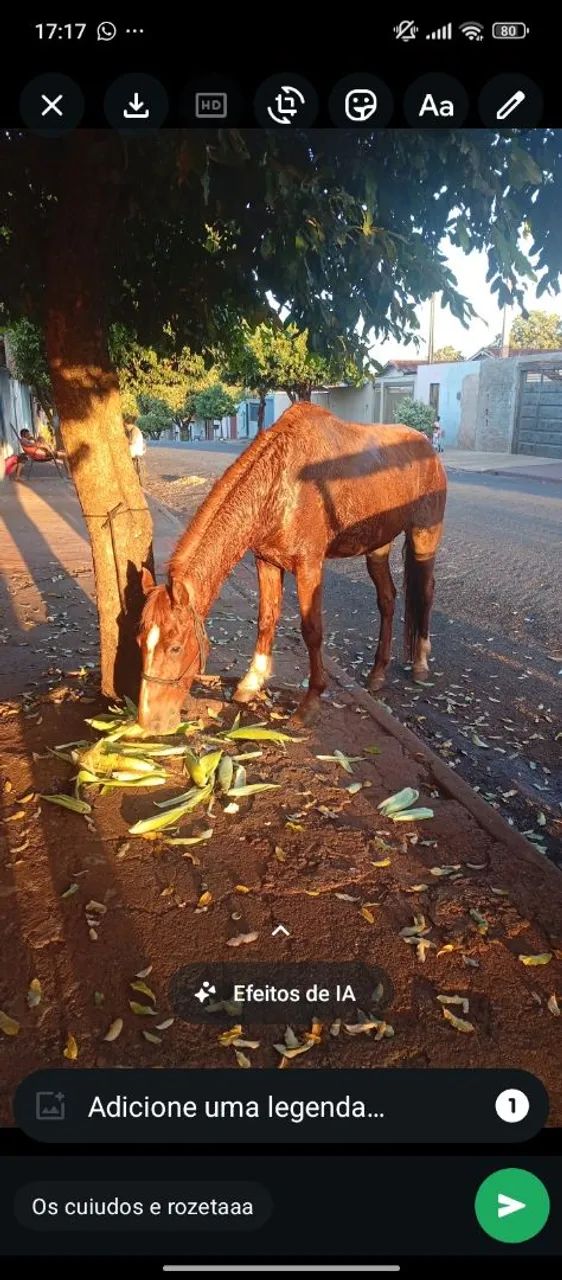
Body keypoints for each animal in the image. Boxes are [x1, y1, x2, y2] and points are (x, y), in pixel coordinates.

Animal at [138, 403, 447, 733]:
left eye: (175, 647)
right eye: (140, 641)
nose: (148, 721)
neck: (283, 484)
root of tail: (427, 447)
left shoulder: (309, 566)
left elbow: (312, 630)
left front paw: (309, 704)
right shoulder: (267, 562)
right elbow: (266, 619)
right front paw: (250, 683)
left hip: (425, 536)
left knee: (426, 593)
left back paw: (420, 663)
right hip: (378, 545)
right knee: (387, 600)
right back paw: (377, 673)